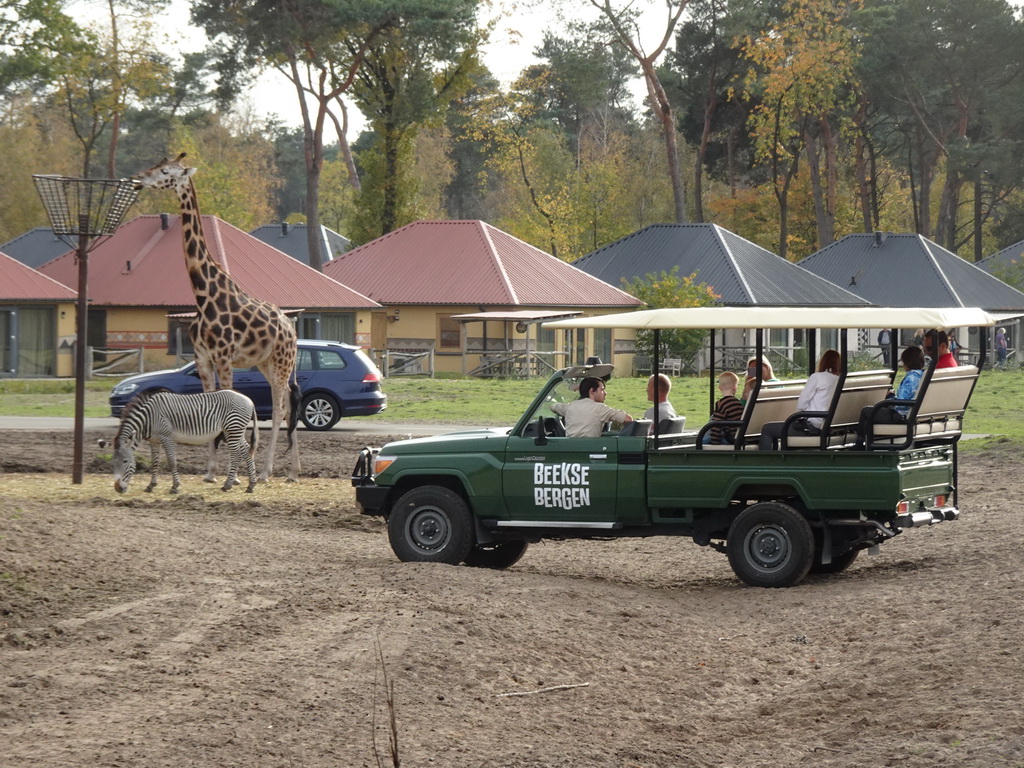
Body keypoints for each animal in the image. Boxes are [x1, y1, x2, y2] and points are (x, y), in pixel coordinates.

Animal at [113, 391, 260, 493]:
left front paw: (175, 486)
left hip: (232, 429)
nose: (117, 489)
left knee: (235, 454)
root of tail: (249, 400)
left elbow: (172, 462)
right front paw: (151, 485)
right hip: (236, 431)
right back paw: (251, 484)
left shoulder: (167, 437)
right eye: (113, 463)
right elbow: (154, 463)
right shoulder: (154, 441)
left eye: (125, 461)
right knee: (246, 450)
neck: (148, 419)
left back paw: (227, 485)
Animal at [133, 153, 299, 483]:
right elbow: (207, 406)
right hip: (268, 364)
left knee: (278, 409)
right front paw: (210, 472)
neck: (202, 293)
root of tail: (292, 328)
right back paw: (293, 471)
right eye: (157, 164)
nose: (140, 178)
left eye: (166, 171)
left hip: (281, 362)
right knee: (288, 403)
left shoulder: (223, 356)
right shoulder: (202, 358)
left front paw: (233, 474)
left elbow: (227, 406)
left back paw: (266, 471)